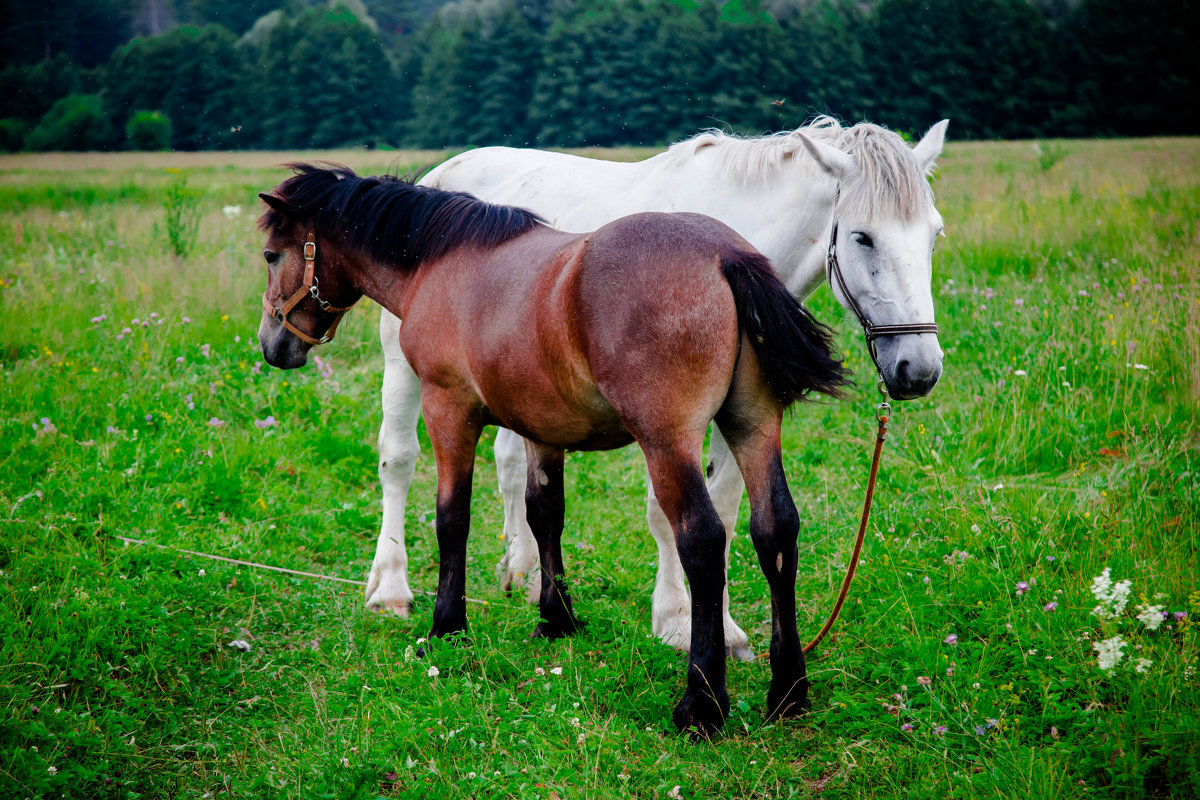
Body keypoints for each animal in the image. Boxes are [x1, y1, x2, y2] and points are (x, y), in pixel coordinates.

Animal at [258, 164, 849, 738]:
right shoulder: (540, 429)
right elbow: (544, 514)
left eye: (271, 255)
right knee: (775, 531)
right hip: (752, 426)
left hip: (669, 443)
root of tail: (725, 254)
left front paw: (447, 626)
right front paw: (556, 618)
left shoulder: (449, 410)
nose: (273, 345)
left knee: (702, 540)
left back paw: (701, 705)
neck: (443, 262)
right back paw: (787, 691)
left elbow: (452, 518)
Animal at [364, 117, 945, 657]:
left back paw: (525, 575)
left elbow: (726, 512)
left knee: (510, 464)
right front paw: (675, 622)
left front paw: (724, 631)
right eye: (862, 236)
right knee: (398, 459)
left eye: (933, 233)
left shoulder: (735, 414)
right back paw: (390, 589)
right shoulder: (665, 420)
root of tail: (446, 171)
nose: (919, 369)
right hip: (404, 365)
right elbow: (668, 518)